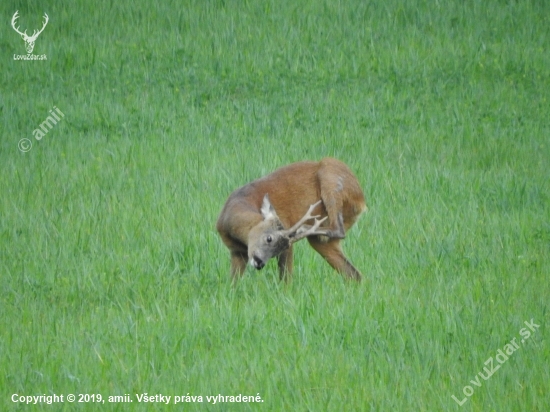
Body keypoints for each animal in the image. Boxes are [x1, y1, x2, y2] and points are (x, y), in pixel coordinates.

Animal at [218, 156, 368, 282]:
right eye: (269, 238)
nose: (260, 262)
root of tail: (361, 200)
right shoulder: (236, 252)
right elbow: (232, 283)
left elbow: (286, 278)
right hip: (322, 240)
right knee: (353, 274)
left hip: (331, 175)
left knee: (338, 229)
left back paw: (303, 228)